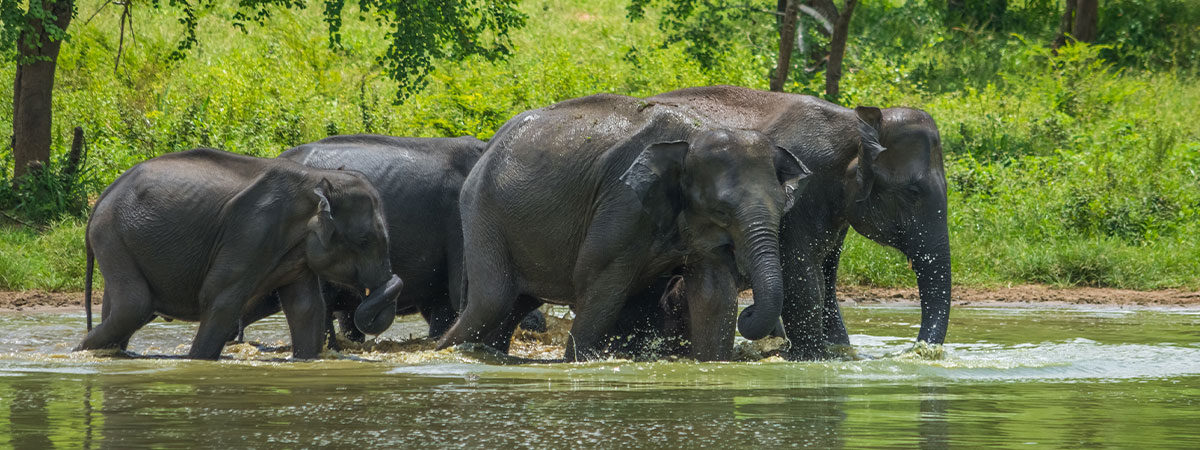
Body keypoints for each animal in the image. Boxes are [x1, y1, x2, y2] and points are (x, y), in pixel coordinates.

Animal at [75, 150, 403, 362]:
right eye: (364, 240)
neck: (316, 182)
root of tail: (101, 198)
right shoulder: (251, 233)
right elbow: (221, 301)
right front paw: (197, 362)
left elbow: (306, 307)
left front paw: (307, 362)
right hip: (112, 237)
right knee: (135, 307)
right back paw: (80, 353)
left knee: (121, 311)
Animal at [436, 93, 811, 362]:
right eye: (721, 210)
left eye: (783, 207)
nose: (750, 312)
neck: (694, 134)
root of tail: (489, 145)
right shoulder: (622, 202)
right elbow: (600, 285)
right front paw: (577, 362)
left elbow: (713, 295)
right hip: (483, 214)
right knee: (491, 301)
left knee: (511, 305)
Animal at [638, 85, 945, 360]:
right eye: (912, 192)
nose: (920, 352)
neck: (851, 122)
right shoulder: (797, 201)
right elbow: (804, 283)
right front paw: (813, 358)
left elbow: (827, 285)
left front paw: (837, 353)